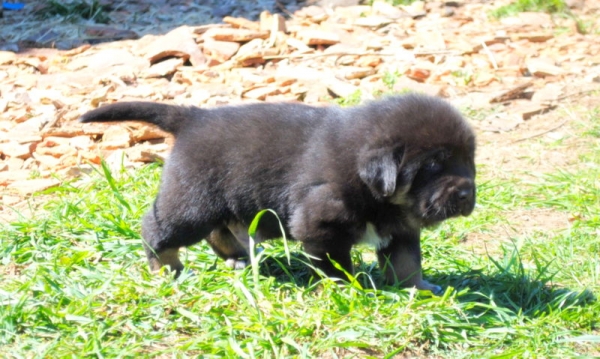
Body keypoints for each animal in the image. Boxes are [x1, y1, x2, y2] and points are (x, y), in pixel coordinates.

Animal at [81, 94, 474, 294]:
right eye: (434, 164)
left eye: (468, 159)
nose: (468, 194)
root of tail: (193, 118)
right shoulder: (320, 224)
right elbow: (335, 264)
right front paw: (346, 289)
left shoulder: (402, 230)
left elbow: (407, 263)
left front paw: (418, 288)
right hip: (192, 202)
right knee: (157, 227)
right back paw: (166, 269)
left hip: (220, 202)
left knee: (220, 231)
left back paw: (237, 259)